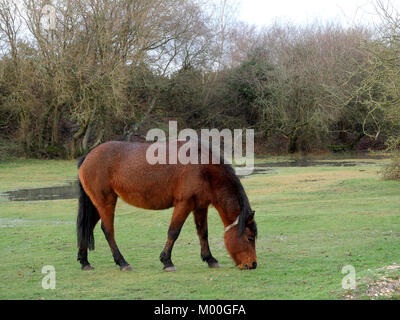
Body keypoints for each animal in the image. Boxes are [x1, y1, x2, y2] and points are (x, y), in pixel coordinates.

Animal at [76, 139, 258, 270]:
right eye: (249, 237)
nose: (253, 264)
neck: (203, 167)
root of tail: (88, 156)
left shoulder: (200, 206)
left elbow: (203, 233)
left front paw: (210, 259)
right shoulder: (184, 204)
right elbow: (173, 232)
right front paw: (167, 261)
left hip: (97, 205)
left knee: (87, 227)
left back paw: (85, 262)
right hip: (106, 202)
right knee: (108, 231)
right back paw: (122, 262)